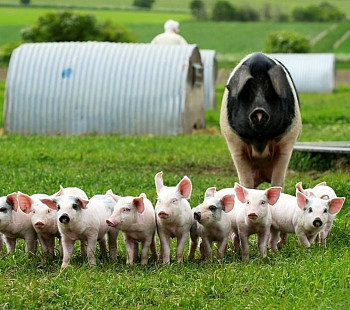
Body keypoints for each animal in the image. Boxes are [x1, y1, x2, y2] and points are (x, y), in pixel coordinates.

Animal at [221, 52, 300, 188]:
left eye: (270, 88)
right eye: (248, 88)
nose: (259, 110)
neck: (259, 139)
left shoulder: (288, 140)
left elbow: (277, 181)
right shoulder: (234, 142)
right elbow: (246, 182)